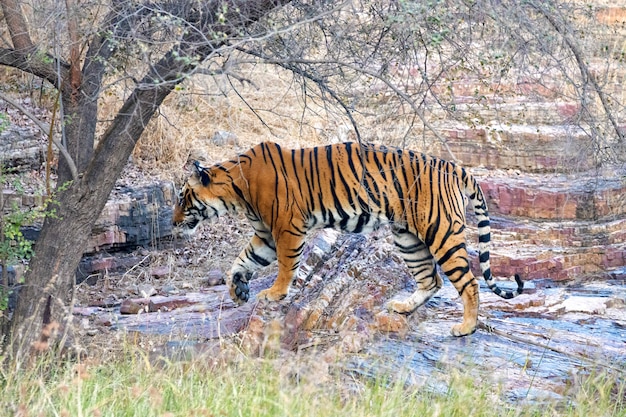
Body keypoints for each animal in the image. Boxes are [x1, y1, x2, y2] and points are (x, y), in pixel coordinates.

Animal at [171, 141, 520, 336]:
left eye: (182, 198)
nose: (172, 223)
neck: (236, 190)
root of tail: (454, 166)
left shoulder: (286, 228)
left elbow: (285, 266)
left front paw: (274, 293)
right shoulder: (265, 235)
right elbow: (241, 261)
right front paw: (238, 289)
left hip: (441, 231)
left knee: (469, 282)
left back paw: (465, 328)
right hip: (408, 238)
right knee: (431, 279)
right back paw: (403, 308)